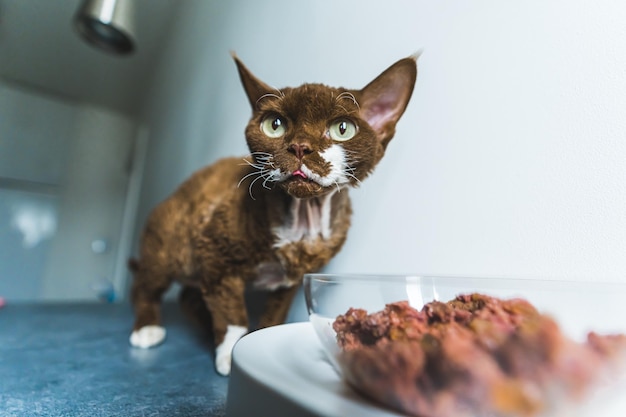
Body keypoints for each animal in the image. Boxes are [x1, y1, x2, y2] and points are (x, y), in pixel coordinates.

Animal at [128, 51, 414, 374]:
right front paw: (231, 354)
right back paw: (148, 329)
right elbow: (232, 316)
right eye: (274, 125)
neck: (302, 223)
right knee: (146, 285)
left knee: (188, 295)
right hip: (168, 246)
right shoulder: (215, 255)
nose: (300, 146)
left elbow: (275, 314)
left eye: (343, 129)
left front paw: (254, 340)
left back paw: (204, 326)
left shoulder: (293, 278)